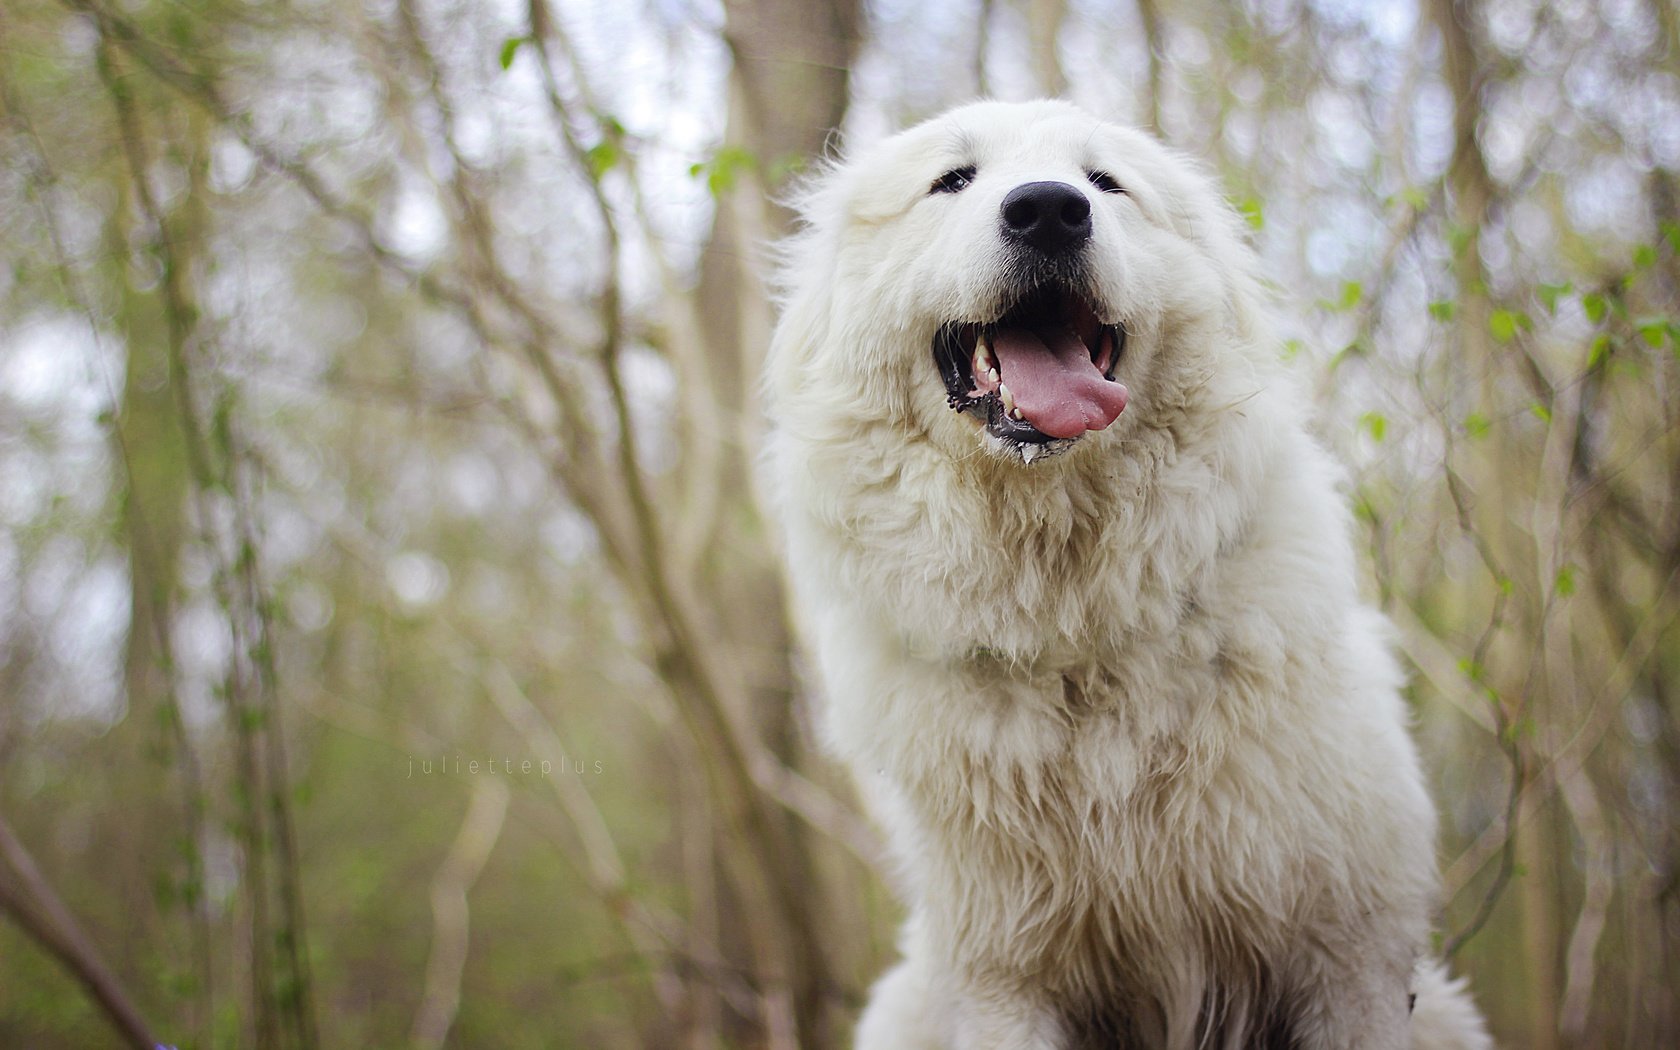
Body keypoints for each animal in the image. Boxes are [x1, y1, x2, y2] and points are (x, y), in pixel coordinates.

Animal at [762, 100, 1485, 1048]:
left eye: (1105, 184)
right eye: (952, 180)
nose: (1048, 210)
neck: (1075, 624)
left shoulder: (1351, 960)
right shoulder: (1006, 984)